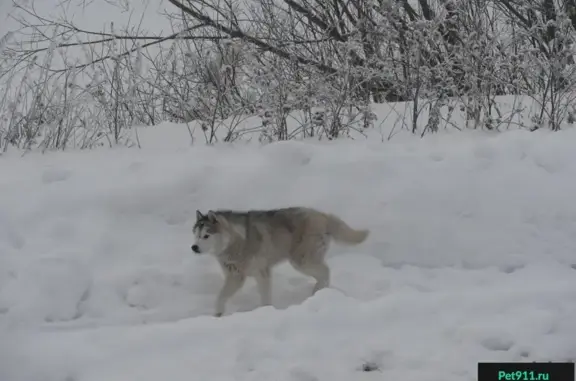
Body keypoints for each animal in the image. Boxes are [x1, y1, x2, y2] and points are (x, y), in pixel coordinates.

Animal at [191, 206, 366, 316]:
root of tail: (322, 214)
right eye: (196, 234)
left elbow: (265, 298)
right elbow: (220, 297)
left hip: (301, 262)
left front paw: (266, 312)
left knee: (326, 271)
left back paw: (319, 292)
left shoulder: (262, 273)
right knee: (324, 272)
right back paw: (318, 293)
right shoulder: (235, 277)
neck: (237, 240)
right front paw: (218, 314)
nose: (194, 247)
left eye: (206, 235)